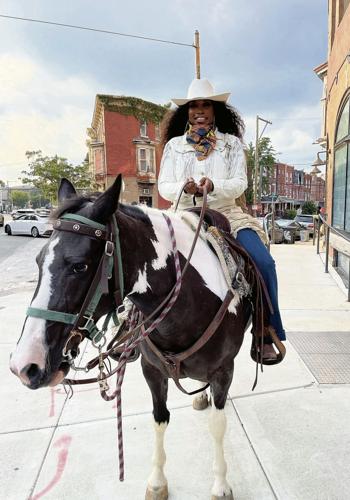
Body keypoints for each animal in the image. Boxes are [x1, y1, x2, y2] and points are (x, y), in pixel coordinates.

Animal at [10, 176, 252, 500]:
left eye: (80, 265)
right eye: (38, 261)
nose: (24, 365)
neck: (191, 303)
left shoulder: (224, 370)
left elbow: (218, 423)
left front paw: (221, 484)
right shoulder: (152, 371)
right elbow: (159, 418)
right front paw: (157, 481)